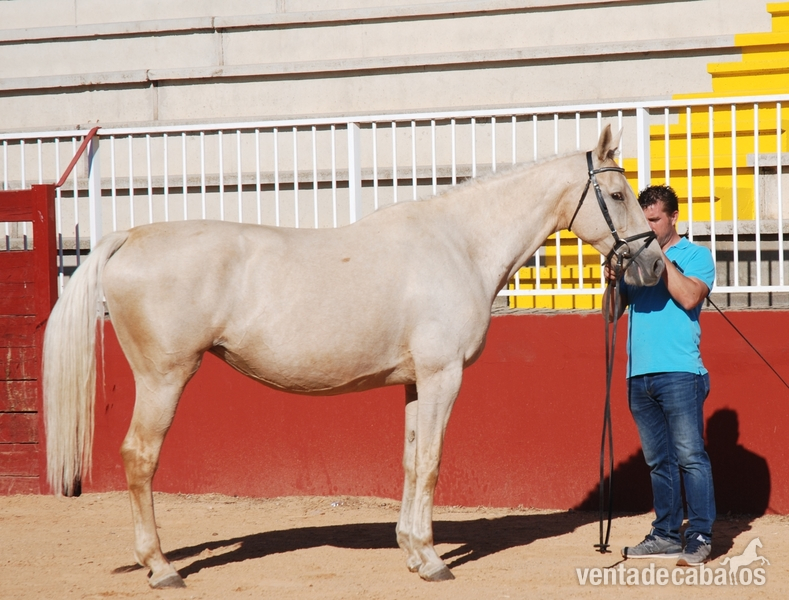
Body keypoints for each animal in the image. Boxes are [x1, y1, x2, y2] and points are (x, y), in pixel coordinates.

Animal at [43, 125, 664, 589]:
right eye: (616, 196)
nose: (654, 265)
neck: (459, 244)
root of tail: (130, 235)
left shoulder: (416, 383)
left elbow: (412, 462)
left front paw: (412, 551)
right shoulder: (443, 377)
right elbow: (432, 463)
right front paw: (433, 562)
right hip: (164, 379)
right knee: (139, 458)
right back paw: (162, 568)